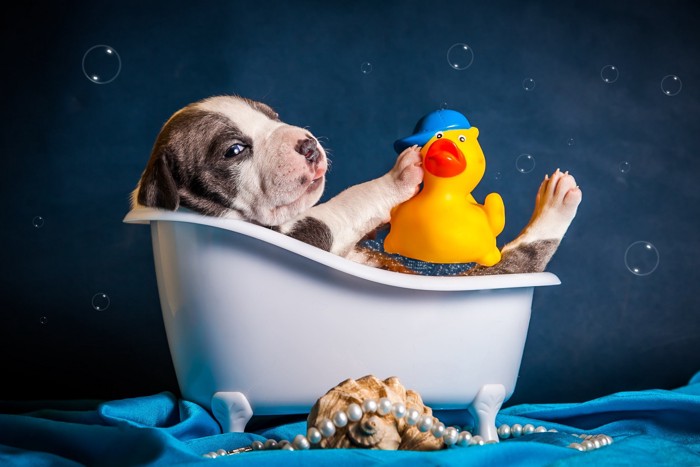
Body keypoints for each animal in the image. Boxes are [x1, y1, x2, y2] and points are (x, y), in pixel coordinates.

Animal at [134, 96, 584, 276]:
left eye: (272, 115)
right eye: (234, 150)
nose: (308, 144)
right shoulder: (307, 234)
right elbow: (351, 200)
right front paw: (400, 175)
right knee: (523, 257)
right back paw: (557, 200)